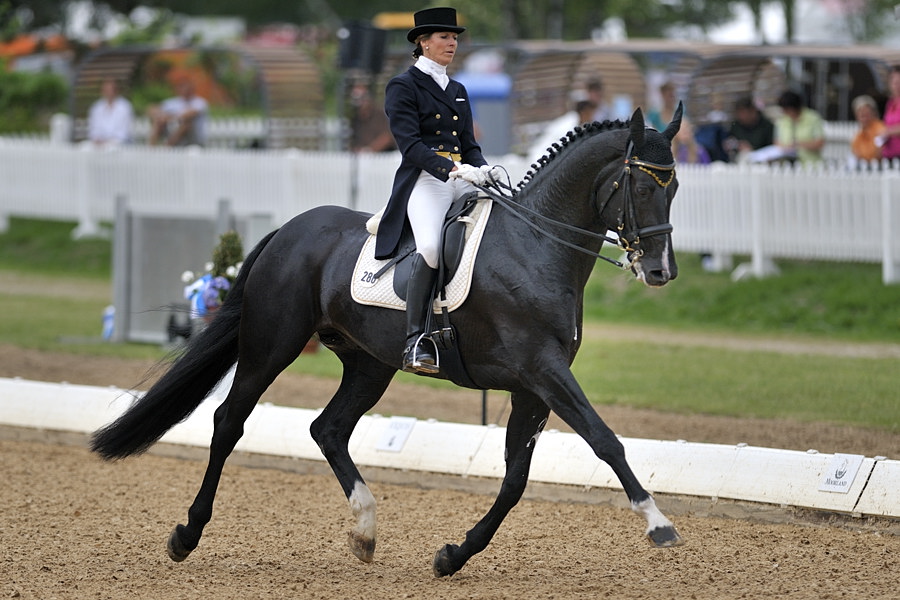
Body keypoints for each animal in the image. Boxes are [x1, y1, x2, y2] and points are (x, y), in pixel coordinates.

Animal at [91, 105, 685, 578]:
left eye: (674, 187)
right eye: (640, 187)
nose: (660, 271)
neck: (536, 247)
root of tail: (290, 230)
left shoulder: (533, 387)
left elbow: (516, 479)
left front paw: (453, 555)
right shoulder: (543, 370)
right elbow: (605, 440)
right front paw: (658, 524)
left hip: (369, 364)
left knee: (327, 429)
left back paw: (365, 532)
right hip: (271, 345)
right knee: (228, 421)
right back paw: (187, 534)